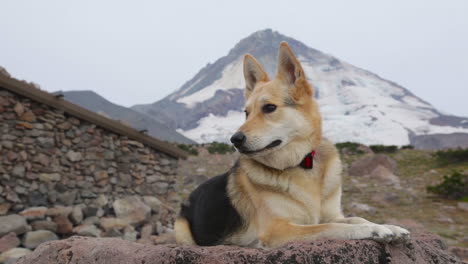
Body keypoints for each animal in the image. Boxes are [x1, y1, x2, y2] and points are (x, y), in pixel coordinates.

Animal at [173, 41, 410, 248]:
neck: (301, 165)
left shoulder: (331, 214)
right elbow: (330, 227)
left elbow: (356, 218)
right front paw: (373, 230)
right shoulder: (279, 229)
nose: (235, 139)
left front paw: (389, 227)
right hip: (182, 229)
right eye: (246, 112)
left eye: (269, 108)